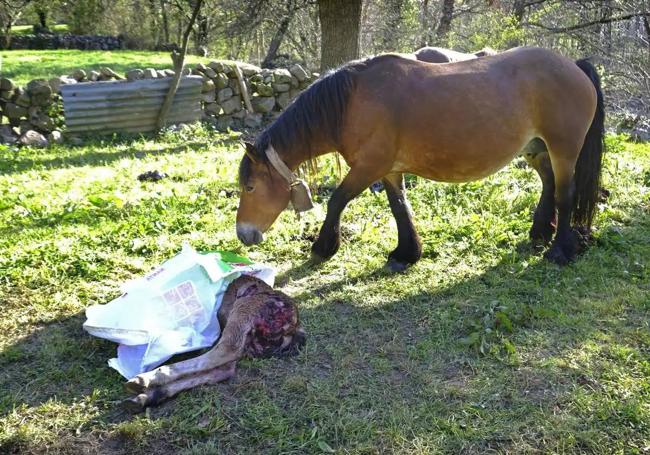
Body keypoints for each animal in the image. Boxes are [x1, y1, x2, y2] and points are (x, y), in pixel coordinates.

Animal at [234, 47, 604, 270]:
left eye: (249, 187)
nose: (243, 234)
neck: (354, 102)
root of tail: (574, 66)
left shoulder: (367, 168)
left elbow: (337, 200)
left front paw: (324, 247)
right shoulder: (387, 170)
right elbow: (400, 207)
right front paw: (406, 253)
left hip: (564, 150)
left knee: (565, 194)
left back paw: (559, 250)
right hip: (537, 149)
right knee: (549, 185)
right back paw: (540, 233)